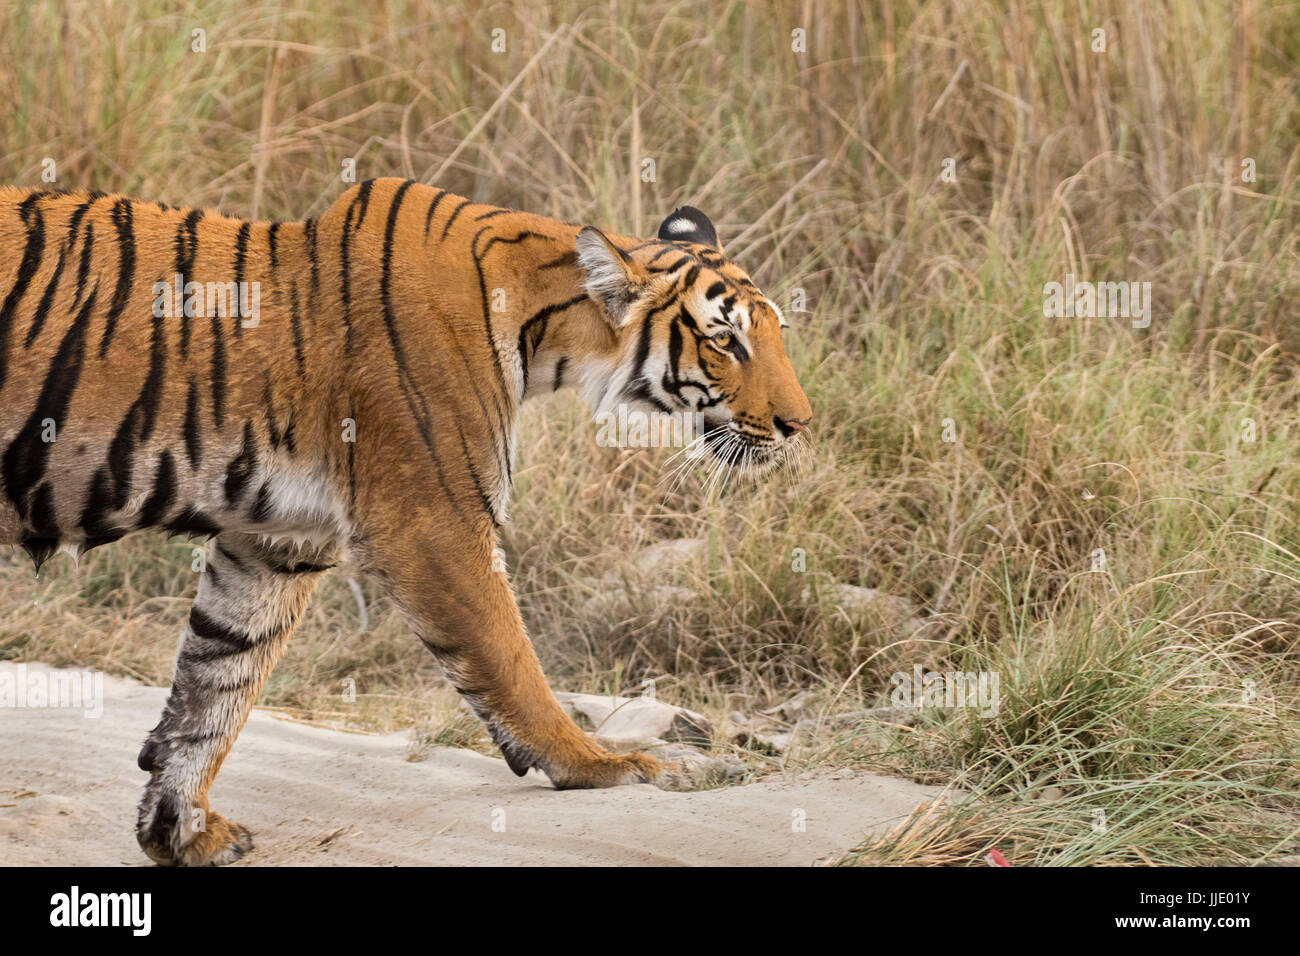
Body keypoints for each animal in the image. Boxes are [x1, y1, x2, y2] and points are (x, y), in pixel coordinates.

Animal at [0, 178, 811, 868]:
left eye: (773, 333)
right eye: (725, 340)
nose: (800, 424)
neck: (547, 331)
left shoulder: (276, 543)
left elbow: (218, 681)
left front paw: (180, 829)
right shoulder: (434, 525)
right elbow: (511, 660)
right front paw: (604, 765)